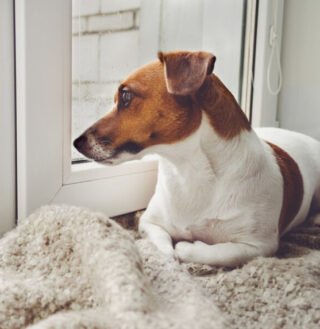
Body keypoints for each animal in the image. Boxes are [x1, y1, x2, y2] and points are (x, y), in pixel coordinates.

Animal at [73, 51, 320, 266]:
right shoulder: (149, 222)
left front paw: (187, 248)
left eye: (125, 96)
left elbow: (219, 252)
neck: (189, 170)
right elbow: (162, 245)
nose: (76, 142)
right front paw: (169, 253)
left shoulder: (258, 246)